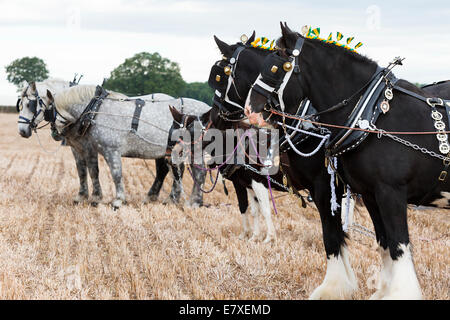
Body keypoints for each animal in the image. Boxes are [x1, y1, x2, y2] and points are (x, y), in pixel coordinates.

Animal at [244, 23, 450, 300]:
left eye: (277, 67)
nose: (250, 110)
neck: (373, 115)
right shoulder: (372, 194)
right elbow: (383, 242)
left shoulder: (390, 192)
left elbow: (397, 244)